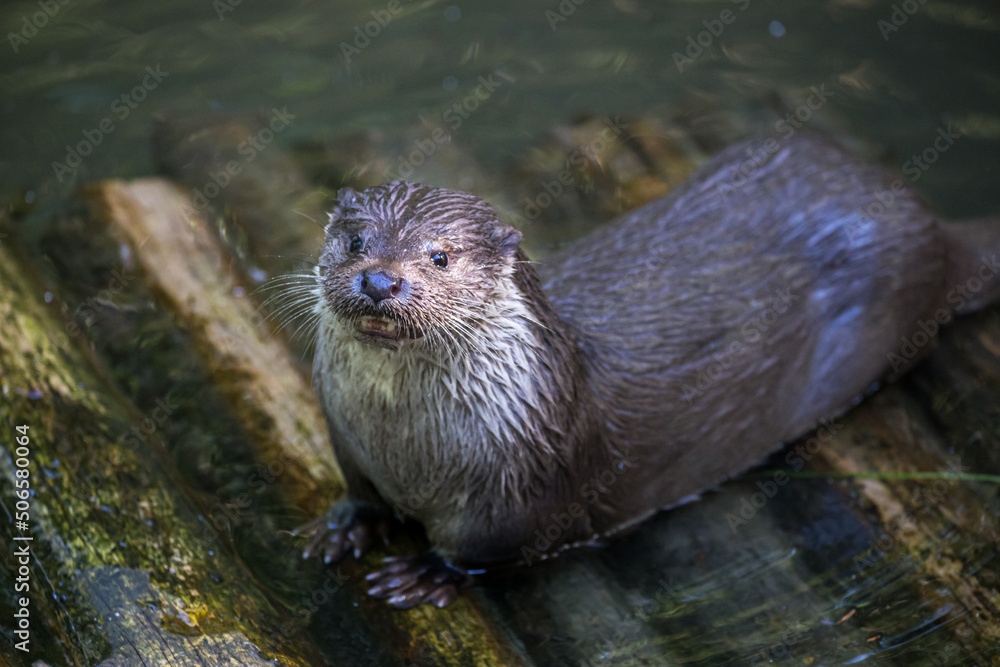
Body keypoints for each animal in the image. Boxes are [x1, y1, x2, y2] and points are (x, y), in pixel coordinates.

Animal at [294, 132, 1000, 608]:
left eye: (439, 257)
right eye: (356, 241)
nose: (380, 280)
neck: (405, 449)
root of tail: (935, 232)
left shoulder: (523, 486)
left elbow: (488, 552)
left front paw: (427, 573)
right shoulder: (346, 437)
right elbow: (359, 492)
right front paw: (344, 525)